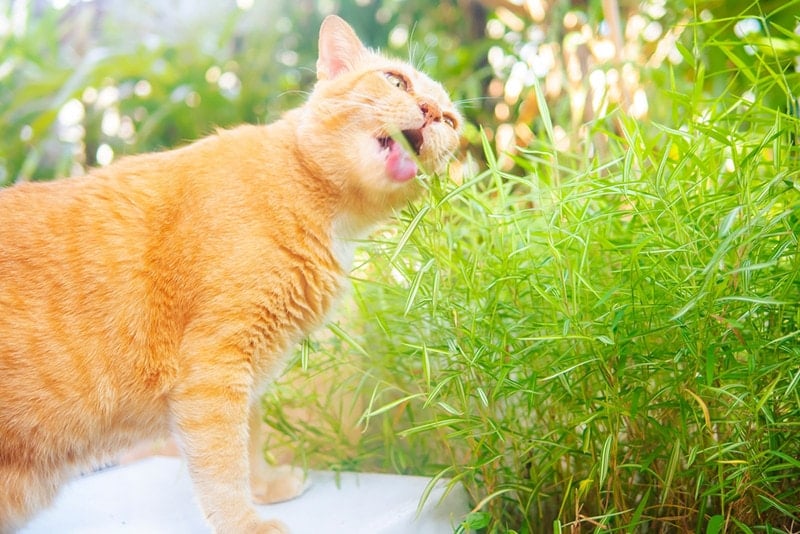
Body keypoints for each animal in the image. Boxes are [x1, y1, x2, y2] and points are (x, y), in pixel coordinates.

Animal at [0, 14, 460, 532]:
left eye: (450, 121)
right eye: (396, 81)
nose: (429, 110)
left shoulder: (249, 369)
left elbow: (250, 438)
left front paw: (267, 487)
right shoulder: (215, 366)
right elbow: (222, 462)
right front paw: (245, 521)